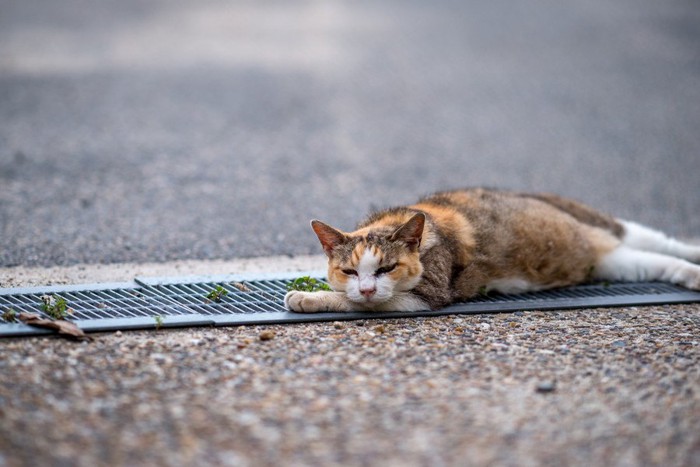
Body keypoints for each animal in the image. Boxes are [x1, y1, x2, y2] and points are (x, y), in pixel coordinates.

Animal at [284, 188, 700, 312]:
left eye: (387, 269)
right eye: (350, 271)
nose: (368, 286)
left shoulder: (429, 294)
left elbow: (364, 303)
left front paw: (308, 298)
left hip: (608, 228)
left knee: (663, 242)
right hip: (617, 262)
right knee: (656, 262)